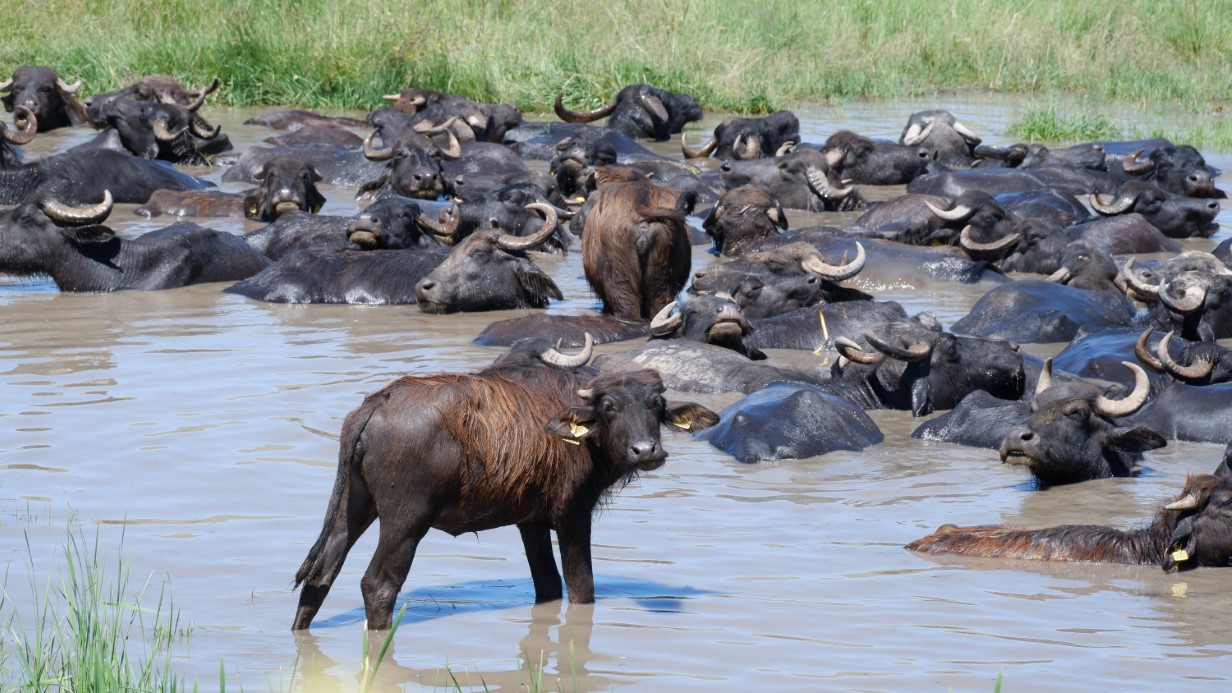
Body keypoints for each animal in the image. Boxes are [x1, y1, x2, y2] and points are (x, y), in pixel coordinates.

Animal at [291, 337, 719, 628]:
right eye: (610, 407)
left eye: (656, 405)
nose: (646, 451)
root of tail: (378, 402)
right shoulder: (573, 515)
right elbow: (581, 587)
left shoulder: (531, 522)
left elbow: (548, 584)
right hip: (405, 521)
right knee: (378, 585)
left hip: (354, 506)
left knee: (321, 574)